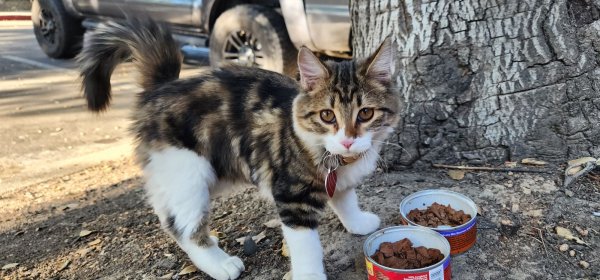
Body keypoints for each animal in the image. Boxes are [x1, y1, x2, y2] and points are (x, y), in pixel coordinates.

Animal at [77, 17, 400, 280]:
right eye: (327, 116)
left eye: (366, 113)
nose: (347, 140)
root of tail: (161, 87)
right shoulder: (292, 196)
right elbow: (306, 245)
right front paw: (310, 274)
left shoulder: (336, 179)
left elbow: (345, 197)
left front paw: (357, 221)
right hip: (190, 170)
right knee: (181, 224)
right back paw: (218, 263)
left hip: (198, 171)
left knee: (165, 210)